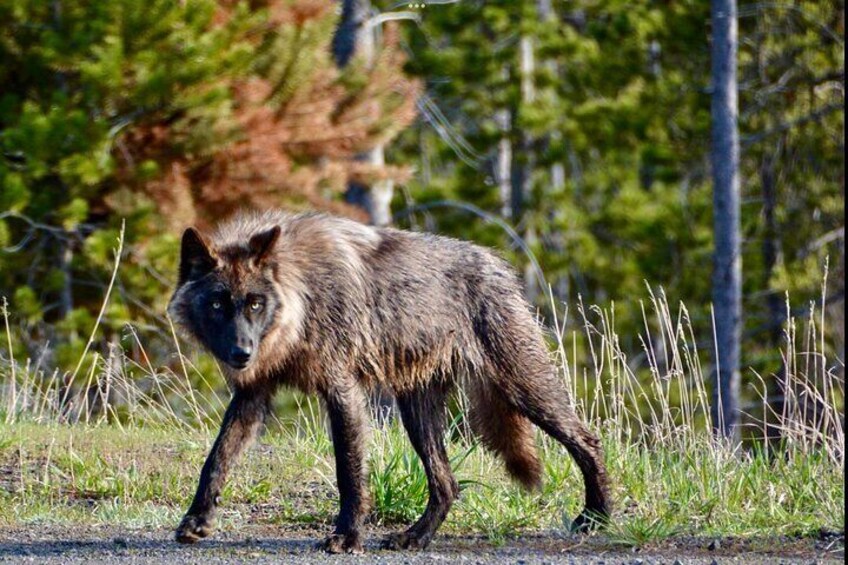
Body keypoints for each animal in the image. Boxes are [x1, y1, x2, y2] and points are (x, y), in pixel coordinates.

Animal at [167, 210, 611, 553]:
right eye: (218, 303)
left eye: (255, 303)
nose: (241, 353)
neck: (301, 297)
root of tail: (499, 265)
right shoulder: (253, 394)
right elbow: (216, 459)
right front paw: (196, 521)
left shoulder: (342, 392)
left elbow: (349, 473)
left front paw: (347, 537)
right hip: (418, 414)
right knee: (448, 485)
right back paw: (414, 538)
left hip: (522, 388)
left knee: (587, 440)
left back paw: (596, 517)